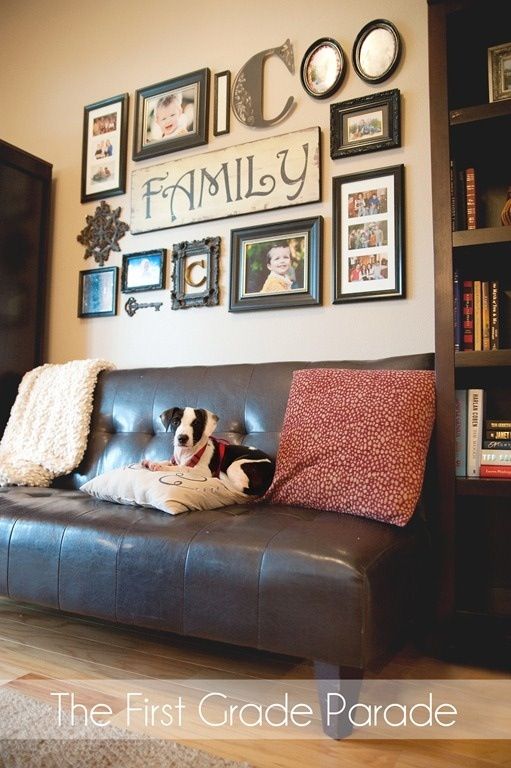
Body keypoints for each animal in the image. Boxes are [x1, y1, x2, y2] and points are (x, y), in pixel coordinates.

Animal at [142, 408, 276, 498]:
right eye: (175, 422)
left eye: (196, 423)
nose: (182, 438)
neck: (187, 452)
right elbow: (169, 462)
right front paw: (152, 462)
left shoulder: (202, 471)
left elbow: (182, 468)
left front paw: (160, 467)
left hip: (235, 466)